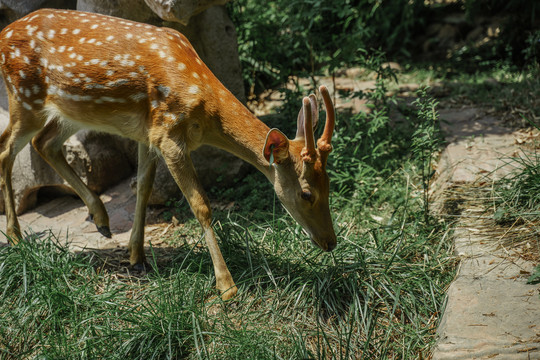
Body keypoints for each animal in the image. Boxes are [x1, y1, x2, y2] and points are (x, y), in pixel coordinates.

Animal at [0, 9, 336, 300]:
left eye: (329, 184)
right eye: (306, 193)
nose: (331, 242)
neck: (206, 111)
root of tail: (4, 33)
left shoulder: (149, 134)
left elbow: (143, 188)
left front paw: (136, 257)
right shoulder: (169, 135)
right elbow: (201, 206)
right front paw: (226, 286)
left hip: (70, 110)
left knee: (44, 143)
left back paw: (101, 220)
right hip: (25, 96)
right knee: (6, 149)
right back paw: (16, 237)